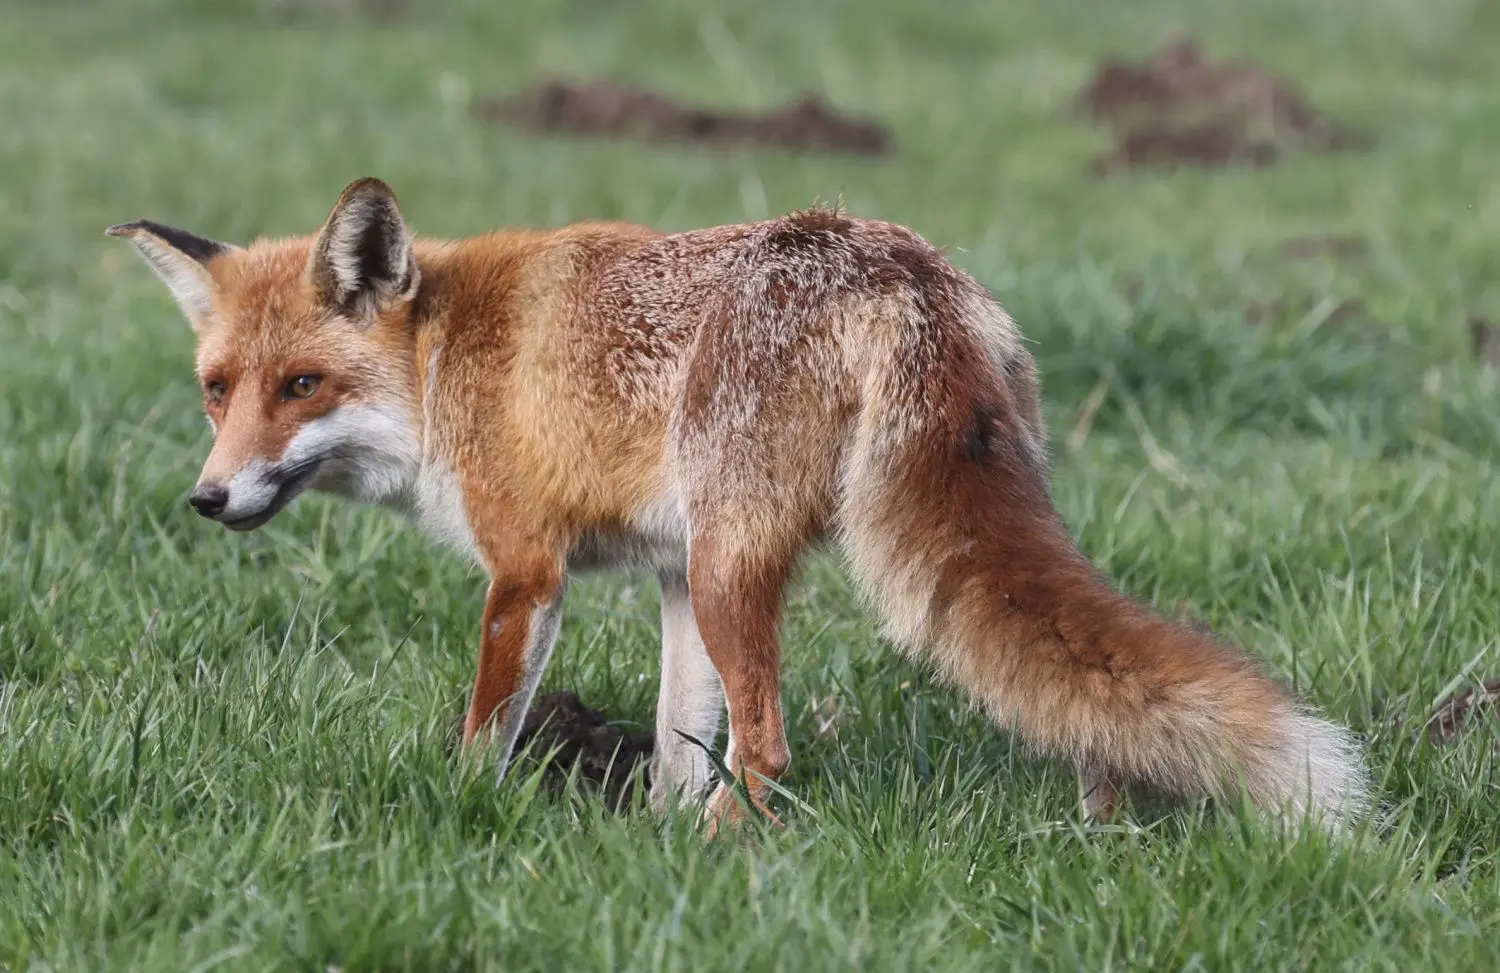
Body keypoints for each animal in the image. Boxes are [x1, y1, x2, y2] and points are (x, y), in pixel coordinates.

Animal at [107, 177, 1371, 833]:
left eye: (300, 387)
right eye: (217, 389)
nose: (208, 497)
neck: (437, 365)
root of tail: (900, 266)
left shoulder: (528, 572)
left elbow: (485, 734)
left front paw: (465, 823)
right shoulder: (665, 572)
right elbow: (676, 740)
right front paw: (649, 845)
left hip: (732, 565)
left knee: (768, 746)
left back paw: (731, 851)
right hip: (832, 551)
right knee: (1079, 687)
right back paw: (1101, 830)